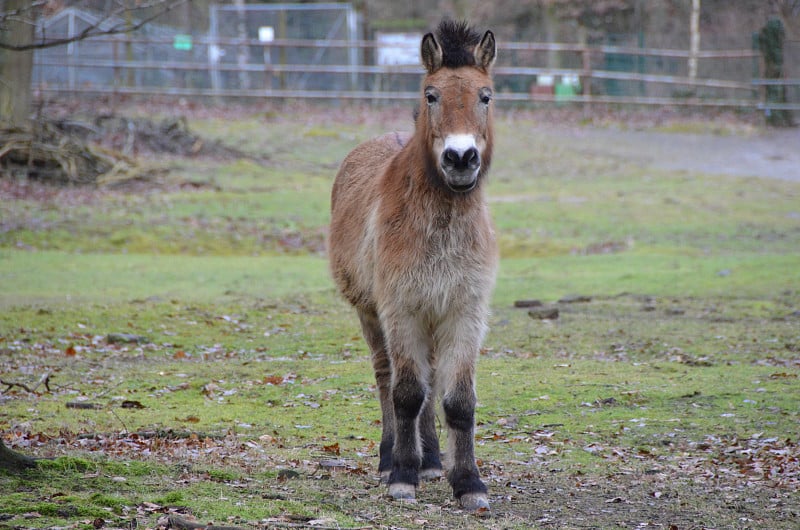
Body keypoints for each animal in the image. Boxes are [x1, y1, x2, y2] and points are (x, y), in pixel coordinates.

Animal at [328, 21, 496, 512]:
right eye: (431, 95)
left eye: (485, 96)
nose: (460, 159)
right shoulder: (400, 311)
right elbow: (405, 394)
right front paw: (403, 476)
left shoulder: (463, 312)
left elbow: (457, 400)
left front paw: (468, 482)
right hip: (372, 315)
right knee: (388, 379)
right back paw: (391, 460)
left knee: (431, 382)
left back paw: (433, 461)